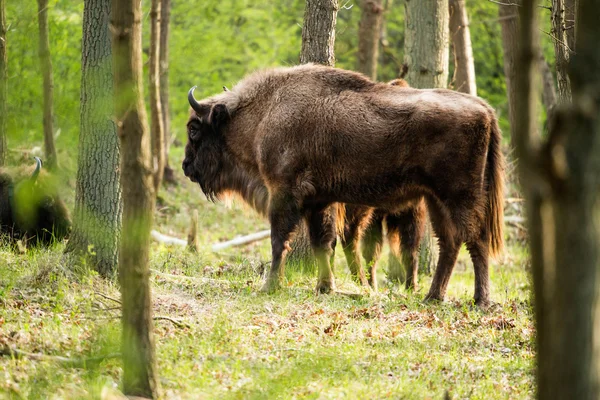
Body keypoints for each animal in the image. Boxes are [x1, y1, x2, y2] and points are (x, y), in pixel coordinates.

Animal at [182, 63, 502, 306]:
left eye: (194, 128)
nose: (186, 166)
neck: (265, 113)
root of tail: (484, 109)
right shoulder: (318, 202)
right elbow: (322, 244)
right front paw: (324, 287)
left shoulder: (284, 194)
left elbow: (278, 241)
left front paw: (270, 286)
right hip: (435, 200)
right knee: (449, 242)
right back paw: (433, 297)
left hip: (459, 196)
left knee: (476, 240)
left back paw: (480, 301)